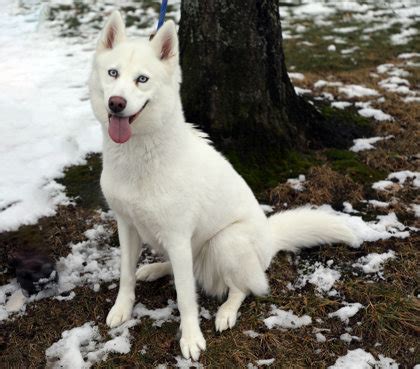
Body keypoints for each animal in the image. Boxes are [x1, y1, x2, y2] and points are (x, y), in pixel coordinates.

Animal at [89, 11, 358, 360]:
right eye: (113, 73)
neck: (139, 156)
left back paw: (226, 312)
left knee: (244, 287)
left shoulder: (178, 235)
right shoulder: (127, 224)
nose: (116, 103)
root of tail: (269, 239)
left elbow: (186, 297)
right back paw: (155, 269)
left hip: (225, 242)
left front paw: (191, 338)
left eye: (142, 80)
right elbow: (125, 274)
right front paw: (122, 309)